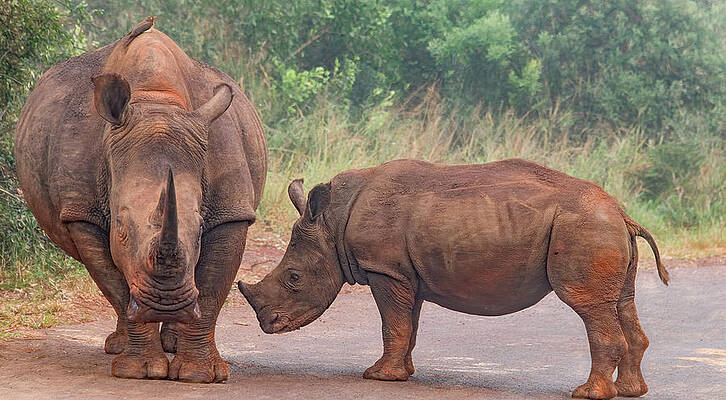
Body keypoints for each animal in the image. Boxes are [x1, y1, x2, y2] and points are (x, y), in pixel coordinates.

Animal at [14, 18, 267, 382]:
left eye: (200, 228)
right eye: (119, 228)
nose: (166, 302)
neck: (157, 103)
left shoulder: (231, 211)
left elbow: (212, 288)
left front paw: (200, 376)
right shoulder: (82, 213)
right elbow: (116, 286)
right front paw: (139, 371)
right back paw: (118, 347)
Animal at [238, 158, 669, 399]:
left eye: (294, 277)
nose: (267, 324)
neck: (333, 221)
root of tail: (623, 214)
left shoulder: (384, 269)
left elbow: (392, 324)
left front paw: (378, 377)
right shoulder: (404, 273)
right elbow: (406, 325)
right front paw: (404, 374)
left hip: (584, 228)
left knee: (589, 306)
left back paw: (586, 394)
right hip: (600, 228)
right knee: (622, 302)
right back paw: (630, 393)